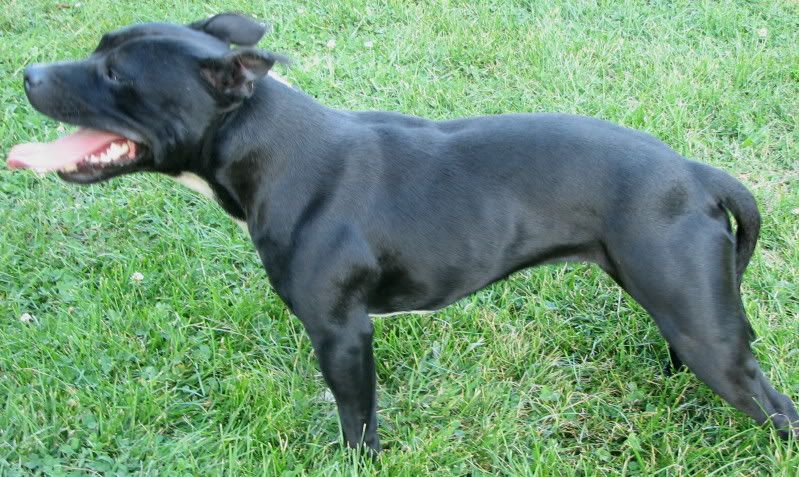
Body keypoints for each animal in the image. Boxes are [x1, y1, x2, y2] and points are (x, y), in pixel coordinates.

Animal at [8, 13, 798, 451]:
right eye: (99, 48)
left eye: (116, 74)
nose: (27, 71)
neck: (267, 144)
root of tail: (695, 173)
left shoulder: (342, 334)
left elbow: (357, 422)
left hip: (710, 337)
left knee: (777, 408)